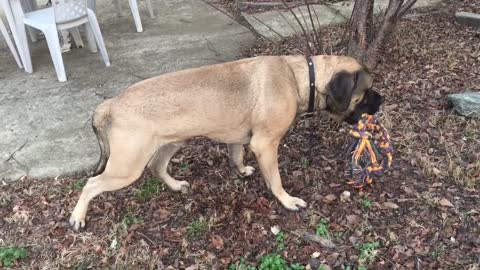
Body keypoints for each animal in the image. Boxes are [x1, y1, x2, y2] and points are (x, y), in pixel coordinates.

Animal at [68, 54, 382, 230]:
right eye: (366, 91)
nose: (382, 100)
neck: (301, 77)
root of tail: (110, 104)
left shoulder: (240, 139)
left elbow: (236, 155)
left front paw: (241, 171)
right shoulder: (266, 144)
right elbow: (276, 180)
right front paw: (287, 200)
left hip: (172, 142)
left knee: (157, 167)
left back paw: (175, 185)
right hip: (126, 167)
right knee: (91, 184)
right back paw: (77, 218)